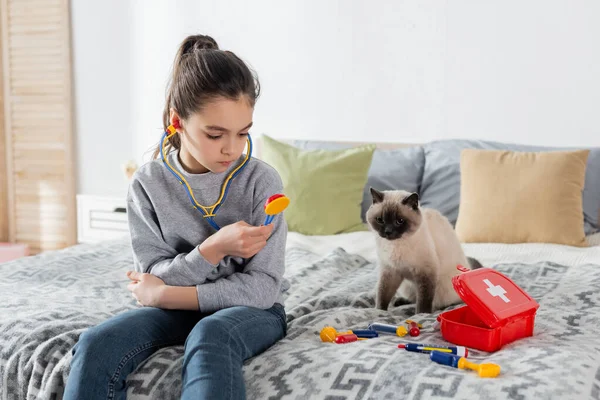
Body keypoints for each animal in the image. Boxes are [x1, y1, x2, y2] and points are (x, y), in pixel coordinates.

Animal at [366, 188, 482, 316]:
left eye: (399, 221)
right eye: (380, 220)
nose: (388, 232)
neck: (395, 245)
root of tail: (470, 267)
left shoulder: (425, 273)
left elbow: (424, 300)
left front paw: (421, 314)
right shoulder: (390, 272)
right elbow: (382, 295)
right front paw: (379, 311)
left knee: (442, 303)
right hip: (406, 286)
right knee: (412, 297)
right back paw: (399, 301)